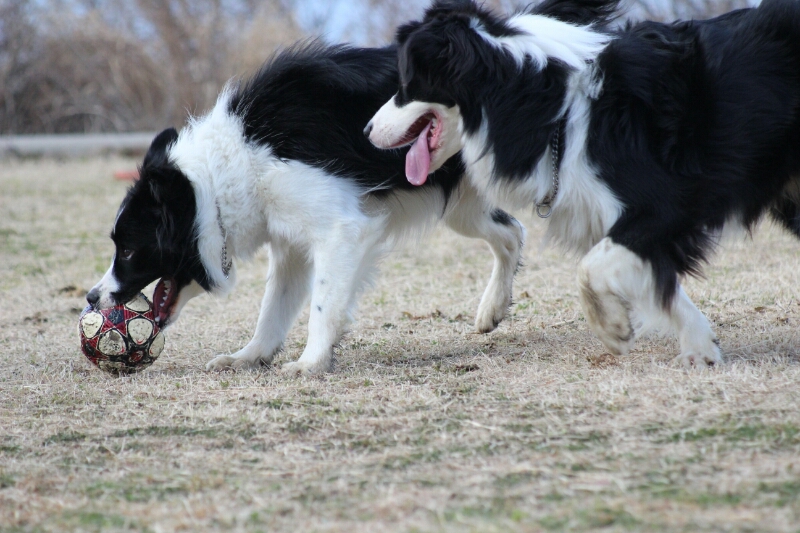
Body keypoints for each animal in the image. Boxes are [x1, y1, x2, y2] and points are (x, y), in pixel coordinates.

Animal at [87, 42, 524, 374]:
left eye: (129, 251)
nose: (91, 298)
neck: (225, 175)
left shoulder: (341, 229)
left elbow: (323, 303)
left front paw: (310, 363)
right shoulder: (289, 243)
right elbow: (273, 307)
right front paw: (249, 356)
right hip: (462, 207)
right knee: (512, 232)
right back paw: (492, 310)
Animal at [366, 0, 800, 366]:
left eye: (405, 85)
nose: (368, 131)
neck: (547, 105)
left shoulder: (666, 199)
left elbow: (592, 266)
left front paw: (615, 331)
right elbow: (654, 280)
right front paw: (701, 347)